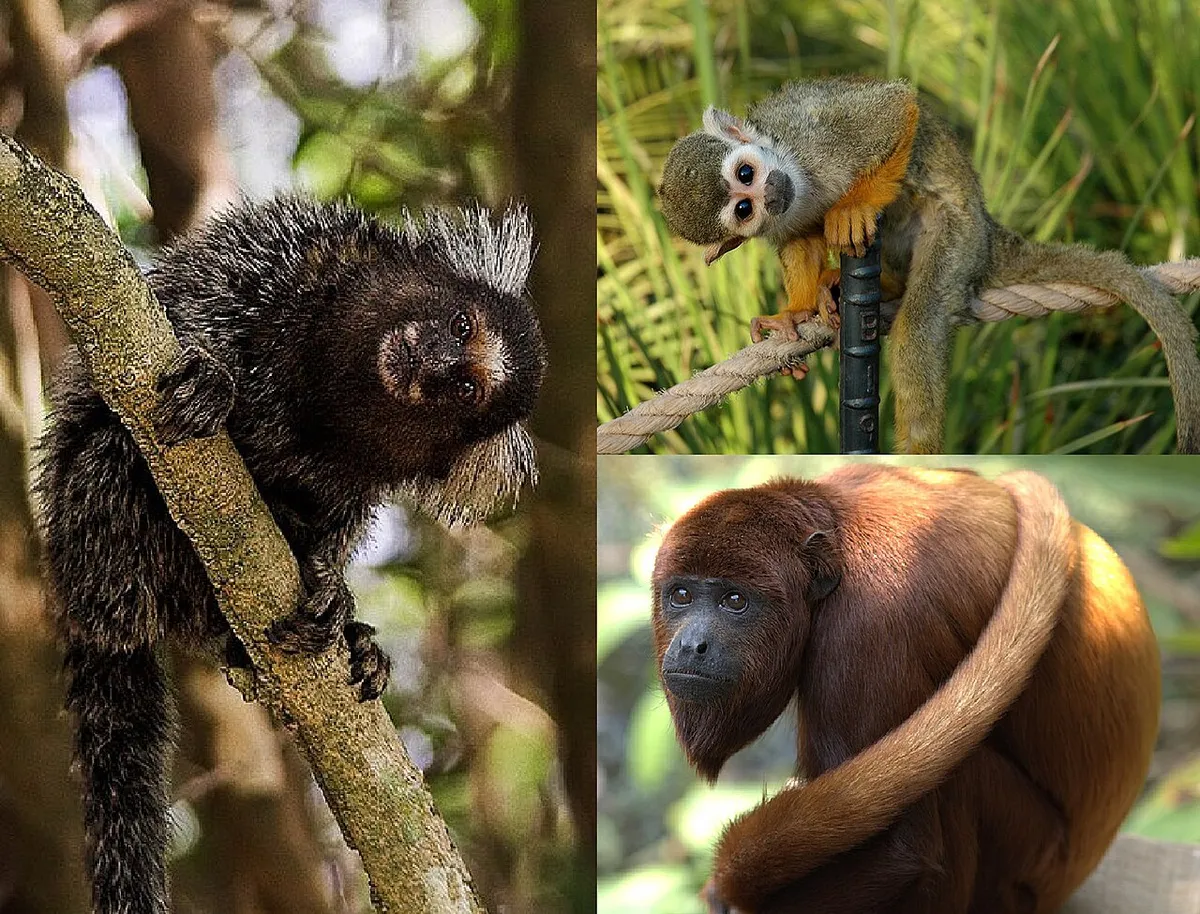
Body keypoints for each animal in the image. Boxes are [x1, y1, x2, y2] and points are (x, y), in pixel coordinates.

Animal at [34, 196, 546, 914]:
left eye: (469, 390)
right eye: (461, 324)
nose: (436, 365)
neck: (328, 392)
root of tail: (83, 602)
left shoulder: (355, 479)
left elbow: (333, 525)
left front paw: (333, 592)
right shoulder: (284, 257)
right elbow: (180, 317)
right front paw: (213, 383)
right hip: (91, 519)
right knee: (112, 451)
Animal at [651, 464, 1160, 914]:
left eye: (735, 601)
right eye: (681, 596)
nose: (691, 645)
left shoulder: (869, 626)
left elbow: (896, 853)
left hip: (1029, 865)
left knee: (958, 780)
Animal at [656, 77, 1200, 453]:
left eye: (747, 173)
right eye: (743, 209)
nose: (770, 194)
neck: (798, 177)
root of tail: (988, 233)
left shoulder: (813, 140)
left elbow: (896, 109)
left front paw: (855, 206)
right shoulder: (785, 212)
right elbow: (796, 238)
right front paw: (797, 309)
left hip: (958, 239)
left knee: (918, 327)